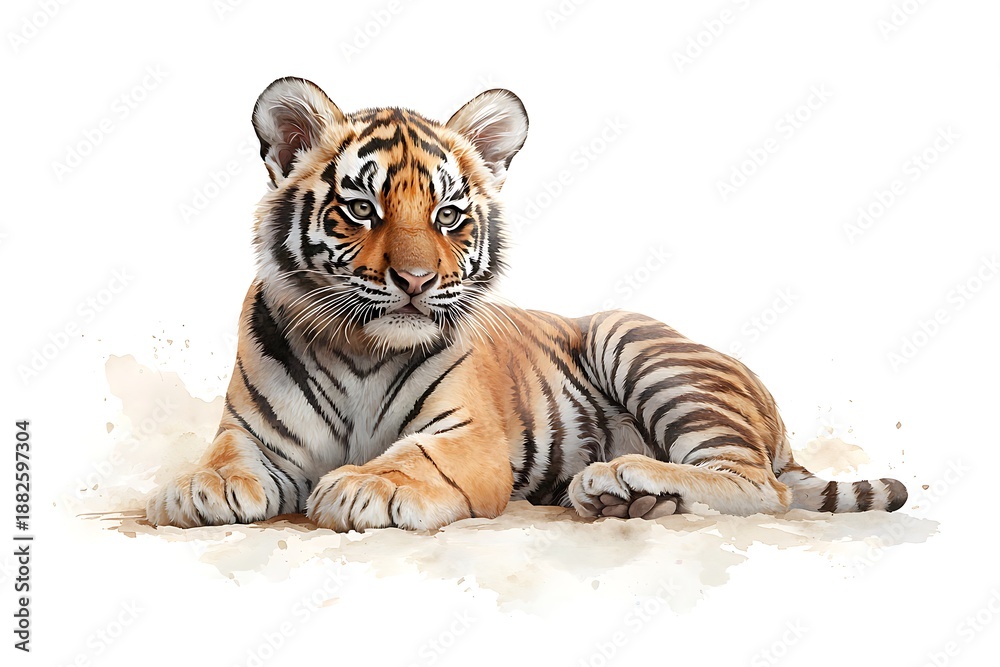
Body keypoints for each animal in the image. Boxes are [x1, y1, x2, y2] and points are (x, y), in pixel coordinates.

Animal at [145, 77, 908, 531]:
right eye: (361, 209)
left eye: (449, 215)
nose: (415, 280)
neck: (363, 346)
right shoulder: (252, 433)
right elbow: (225, 457)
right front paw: (196, 487)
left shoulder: (466, 435)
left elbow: (411, 459)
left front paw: (364, 486)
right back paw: (621, 496)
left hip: (634, 340)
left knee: (757, 485)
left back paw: (623, 475)